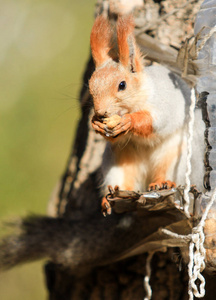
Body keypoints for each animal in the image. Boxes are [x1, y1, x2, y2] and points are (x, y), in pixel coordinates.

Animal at [88, 14, 205, 216]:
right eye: (90, 86)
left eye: (122, 85)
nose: (101, 112)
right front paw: (96, 123)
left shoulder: (164, 104)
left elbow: (154, 121)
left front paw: (129, 121)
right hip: (118, 160)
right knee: (123, 180)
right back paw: (114, 196)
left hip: (178, 159)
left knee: (167, 173)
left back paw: (162, 183)